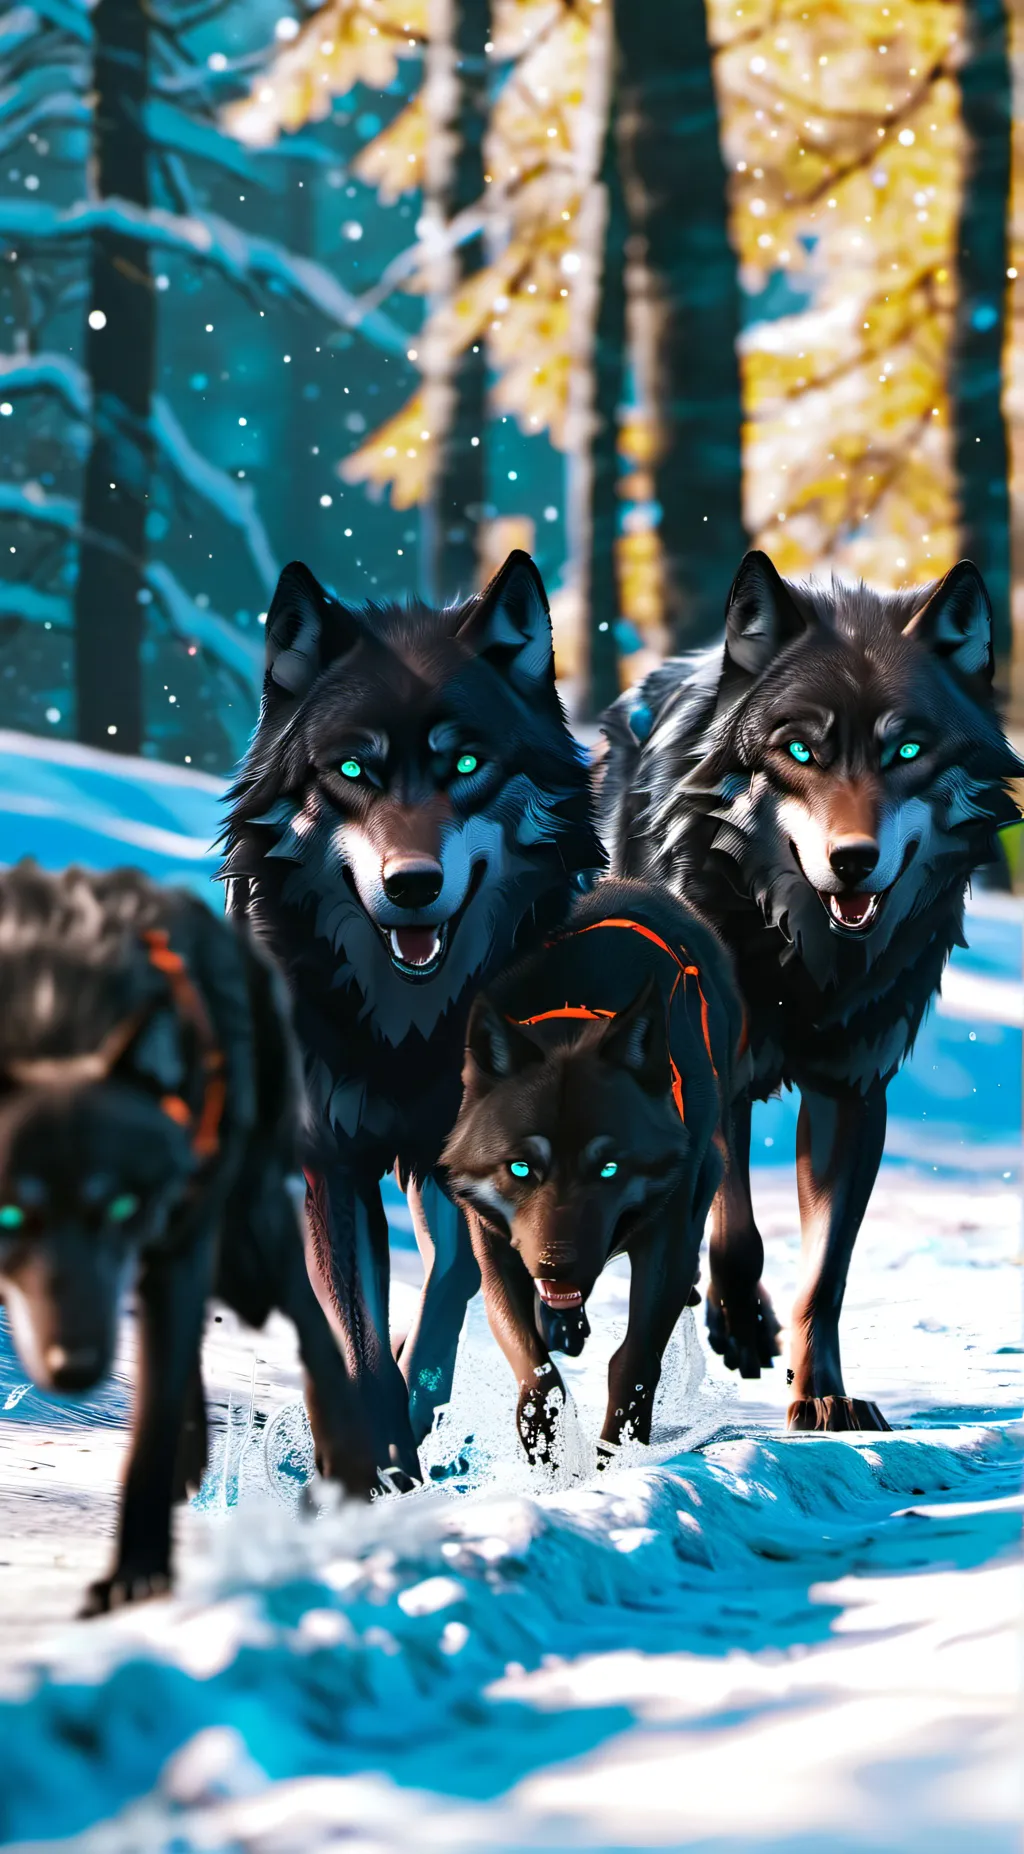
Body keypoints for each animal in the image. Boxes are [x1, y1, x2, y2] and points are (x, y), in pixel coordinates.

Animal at [0, 863, 368, 1615]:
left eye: (117, 1203)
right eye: (13, 1218)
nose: (74, 1367)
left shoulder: (178, 1241)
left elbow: (153, 1420)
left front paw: (136, 1573)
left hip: (250, 1232)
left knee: (307, 1318)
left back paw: (349, 1462)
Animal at [220, 550, 604, 1481]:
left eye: (464, 765)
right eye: (353, 771)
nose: (411, 885)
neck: (409, 1031)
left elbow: (461, 1280)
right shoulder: (332, 1160)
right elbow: (355, 1337)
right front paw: (371, 1460)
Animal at [442, 878, 741, 1462]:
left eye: (608, 1169)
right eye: (520, 1167)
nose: (557, 1266)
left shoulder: (669, 1233)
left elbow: (634, 1359)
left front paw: (616, 1456)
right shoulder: (494, 1242)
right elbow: (531, 1361)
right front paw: (546, 1446)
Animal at [601, 552, 1022, 1431]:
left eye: (907, 750)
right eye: (800, 749)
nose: (853, 861)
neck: (803, 962)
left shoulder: (854, 1092)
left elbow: (826, 1271)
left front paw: (822, 1393)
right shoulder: (714, 1069)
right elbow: (738, 1230)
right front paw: (739, 1325)